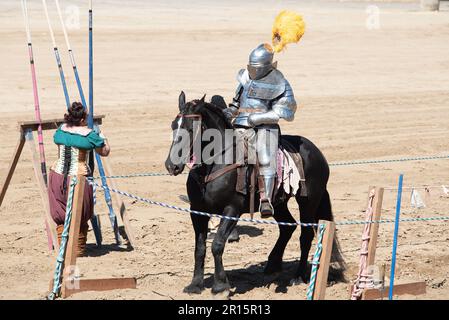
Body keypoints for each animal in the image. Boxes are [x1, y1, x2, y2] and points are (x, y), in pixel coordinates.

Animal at [164, 91, 344, 294]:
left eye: (191, 128)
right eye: (174, 125)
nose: (171, 165)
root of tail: (316, 152)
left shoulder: (231, 210)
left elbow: (217, 244)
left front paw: (220, 286)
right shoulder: (197, 212)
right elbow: (200, 248)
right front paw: (195, 284)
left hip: (308, 201)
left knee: (305, 235)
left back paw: (298, 276)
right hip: (278, 204)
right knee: (287, 226)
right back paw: (272, 267)